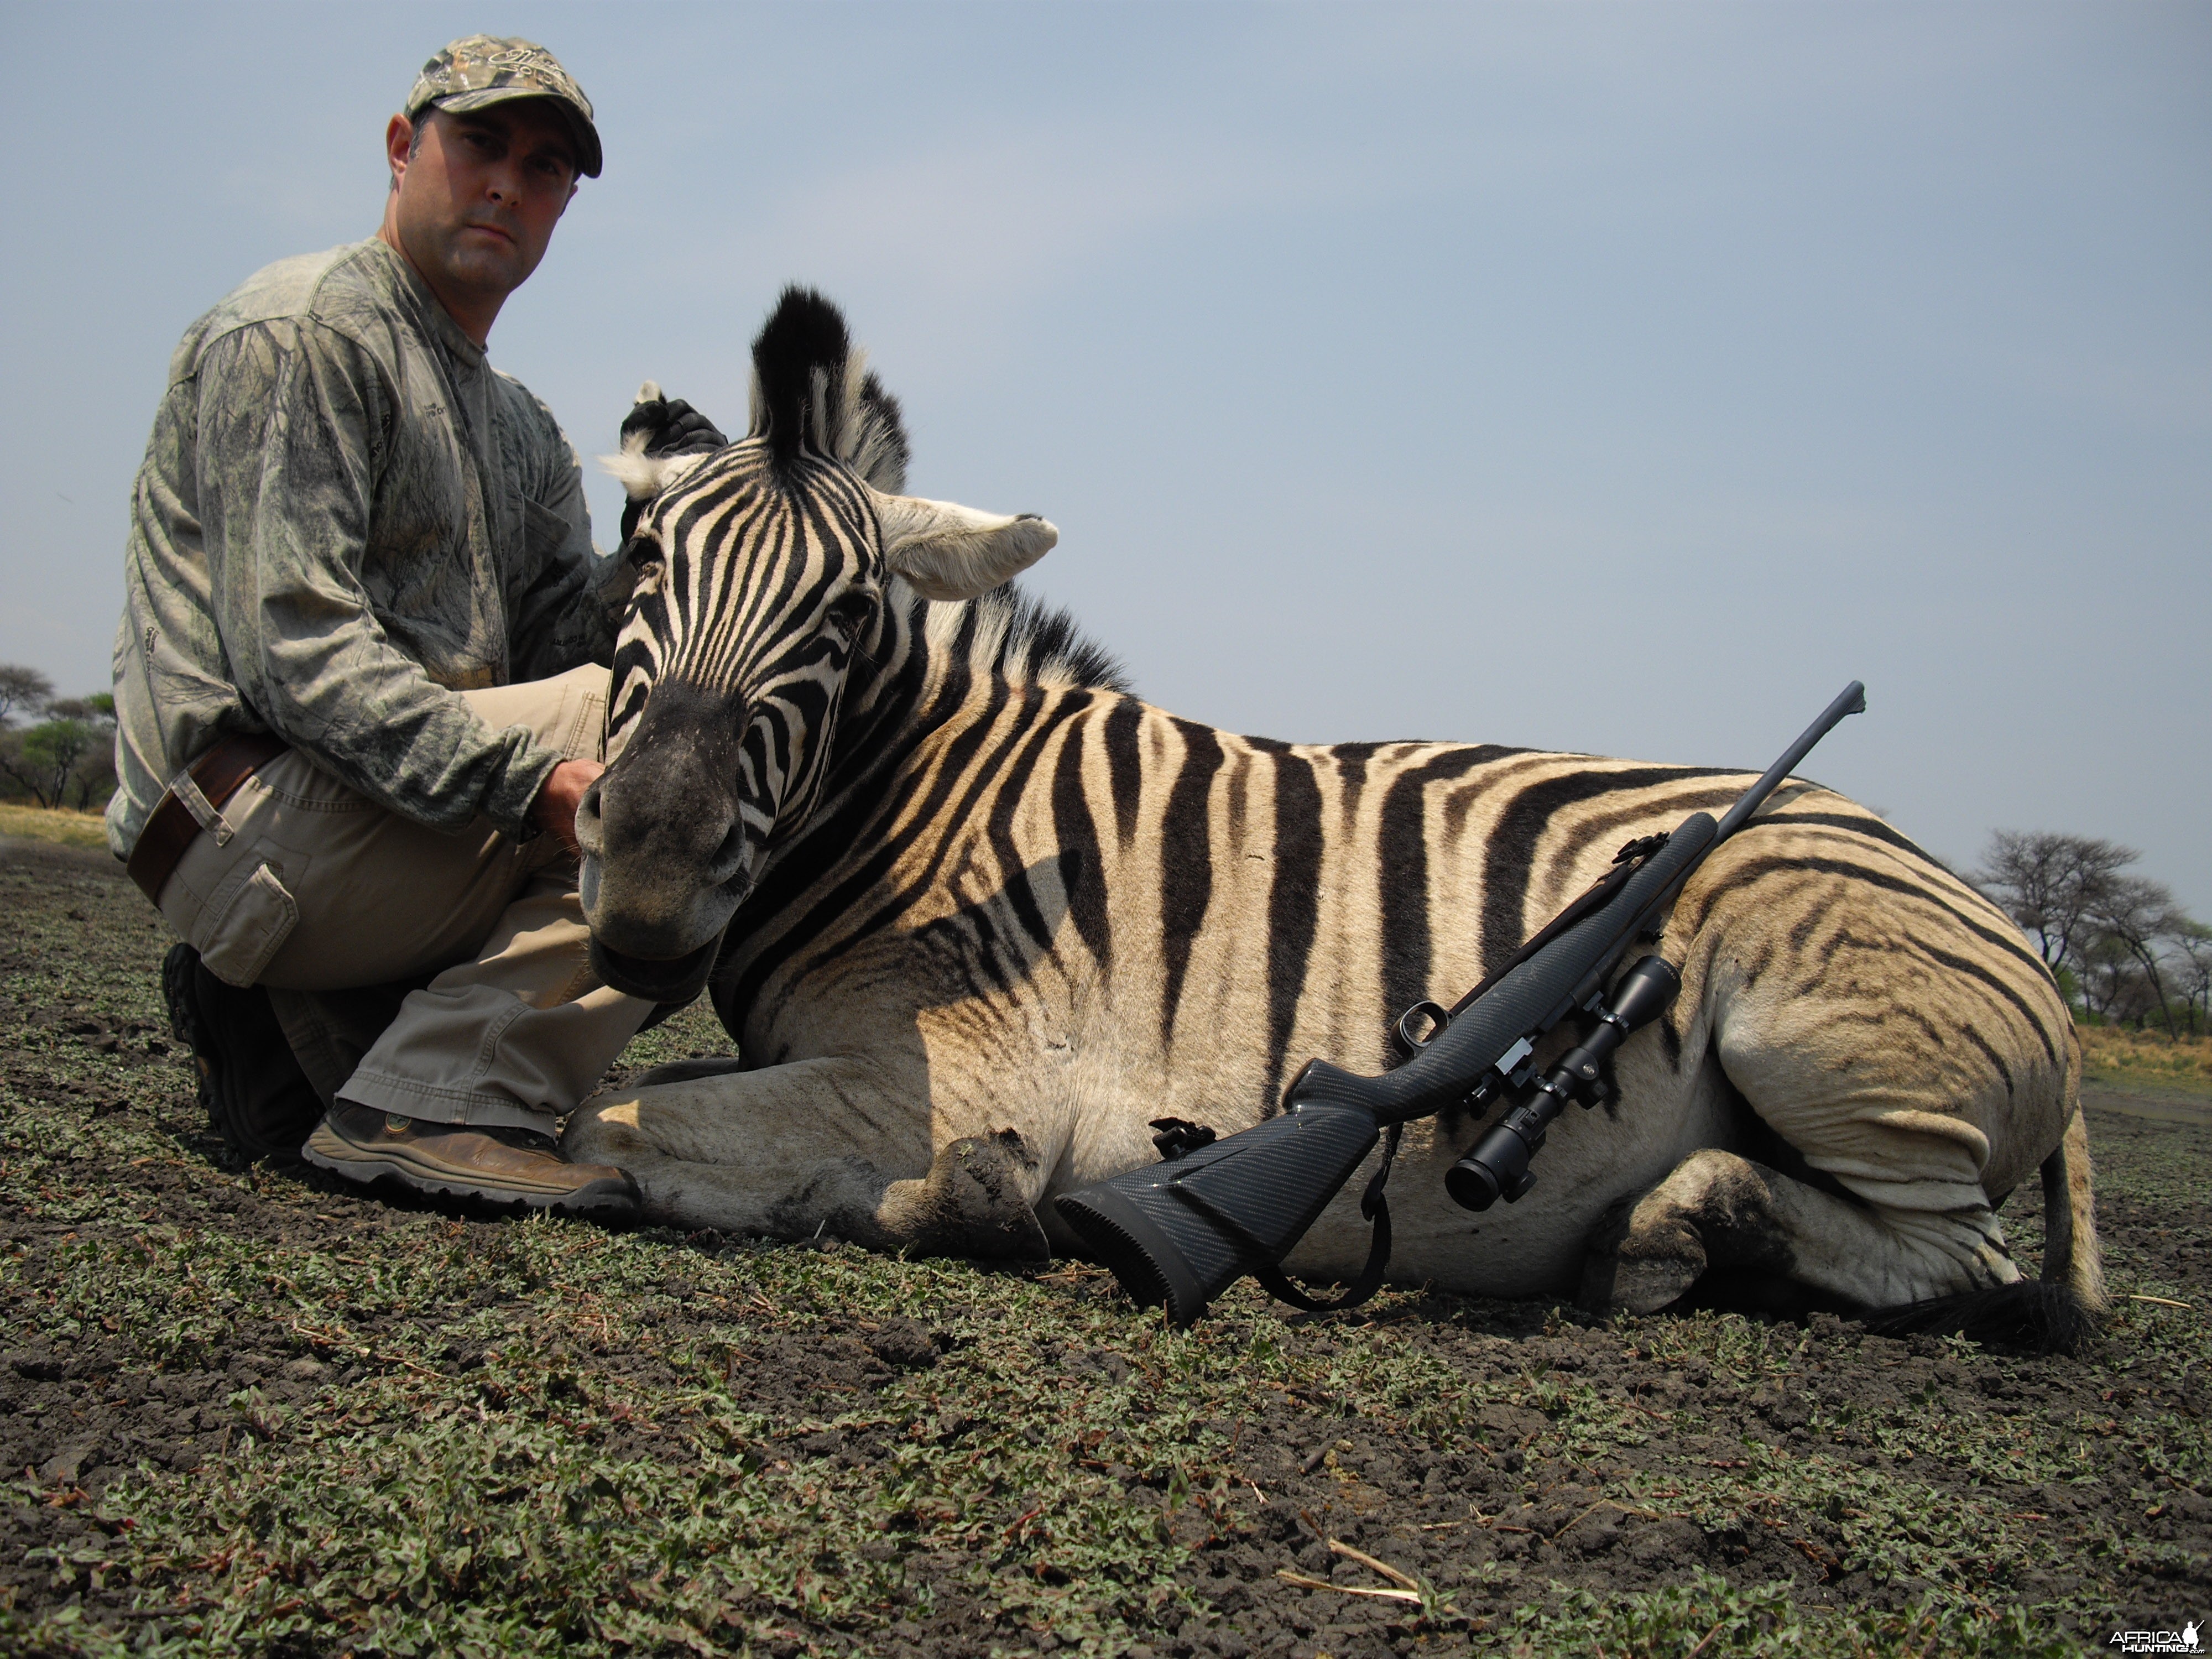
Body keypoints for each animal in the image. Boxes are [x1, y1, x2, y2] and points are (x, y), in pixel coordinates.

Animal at [562, 285, 2097, 1354]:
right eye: (640, 567)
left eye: (842, 617)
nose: (640, 895)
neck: (922, 808)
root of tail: (1957, 885)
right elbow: (635, 1106)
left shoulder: (963, 1077)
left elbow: (606, 1126)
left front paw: (969, 1207)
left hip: (1826, 1051)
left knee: (1962, 1259)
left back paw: (1675, 1233)